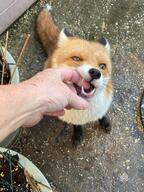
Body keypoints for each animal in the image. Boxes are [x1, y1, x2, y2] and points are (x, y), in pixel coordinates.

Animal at [36, 4, 113, 146]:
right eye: (76, 58)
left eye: (102, 66)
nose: (96, 72)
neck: (86, 112)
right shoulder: (72, 118)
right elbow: (77, 126)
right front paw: (78, 135)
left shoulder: (102, 107)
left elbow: (102, 115)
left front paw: (105, 123)